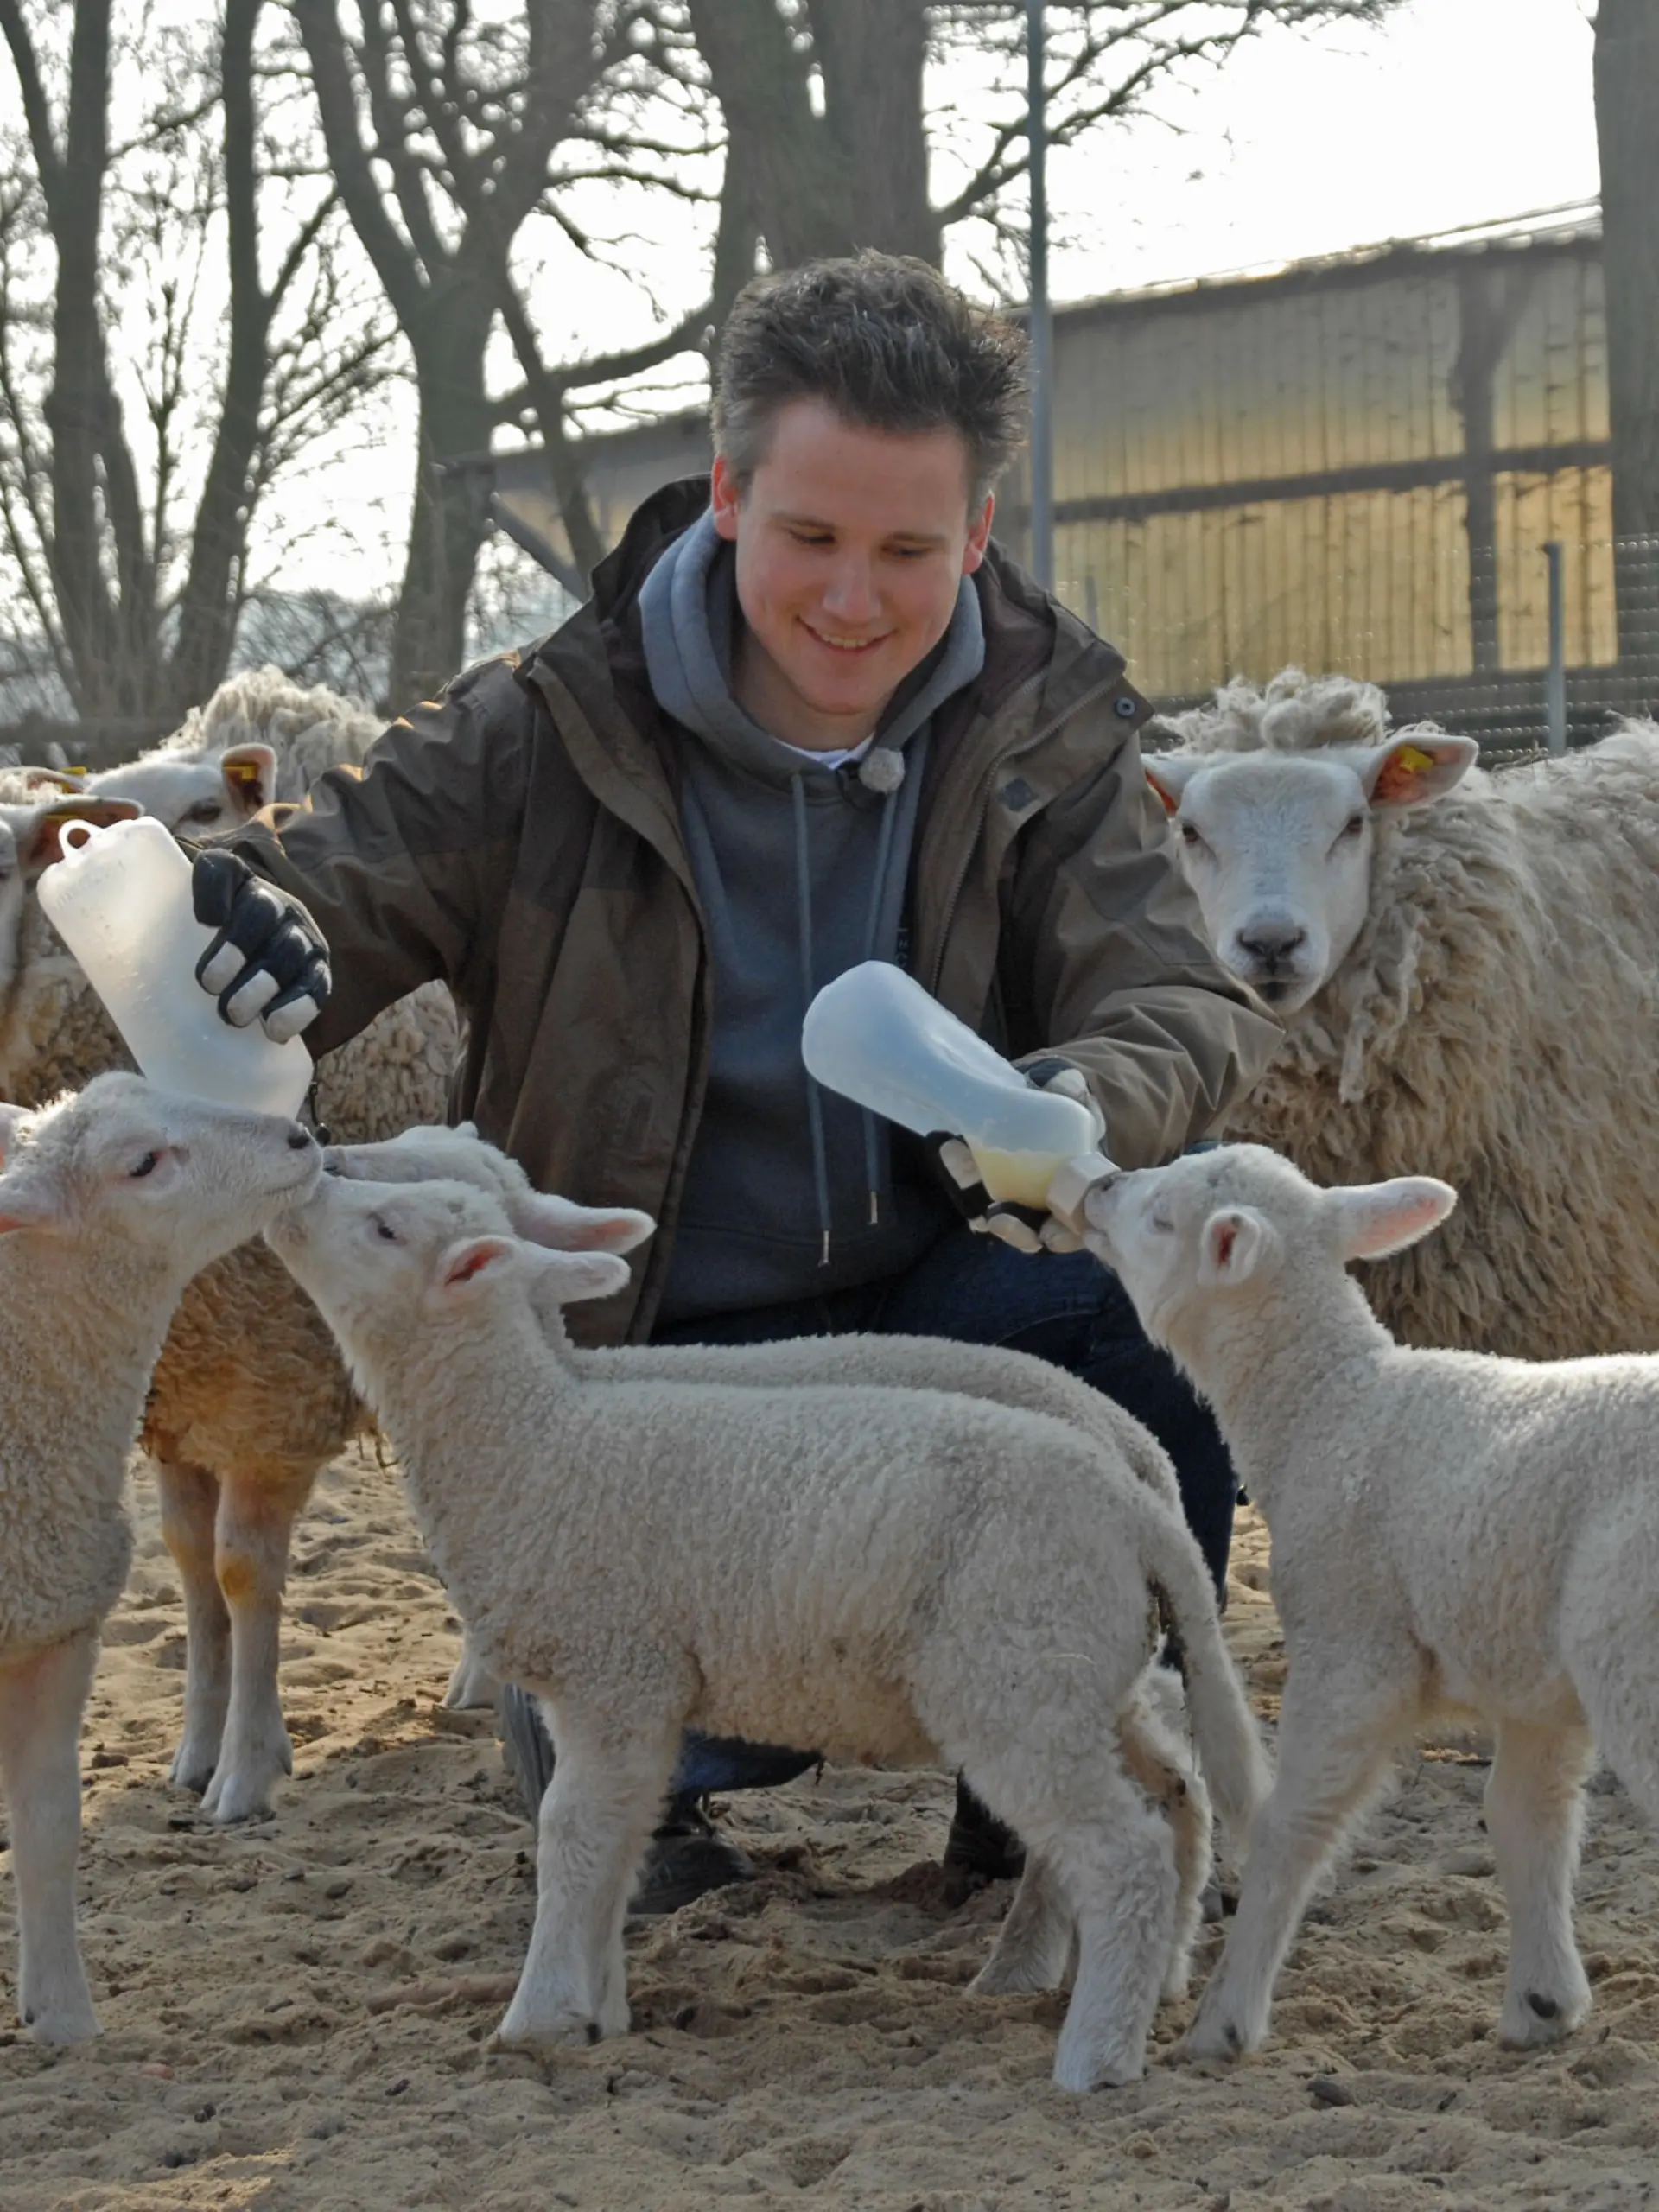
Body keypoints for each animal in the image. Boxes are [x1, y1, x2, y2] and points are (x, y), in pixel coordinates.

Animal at [266, 1171, 1266, 2092]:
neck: (533, 1441)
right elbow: (618, 1837)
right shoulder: (637, 1692)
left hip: (1017, 1678)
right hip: (1081, 1670)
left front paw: (537, 2016)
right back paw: (1141, 1980)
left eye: (384, 1226)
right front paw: (600, 2012)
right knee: (1176, 1790)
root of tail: (1143, 1504)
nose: (303, 1176)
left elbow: (573, 1834)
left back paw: (1094, 2055)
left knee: (1123, 1856)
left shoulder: (610, 1669)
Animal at [1083, 1140, 1659, 2063]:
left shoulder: (1351, 1645)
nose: (1099, 1185)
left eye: (1162, 1219)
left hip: (1632, 1645)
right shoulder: (1525, 1669)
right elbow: (1523, 1820)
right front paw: (1541, 2003)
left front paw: (1223, 2022)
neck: (1329, 1407)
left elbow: (1290, 1828)